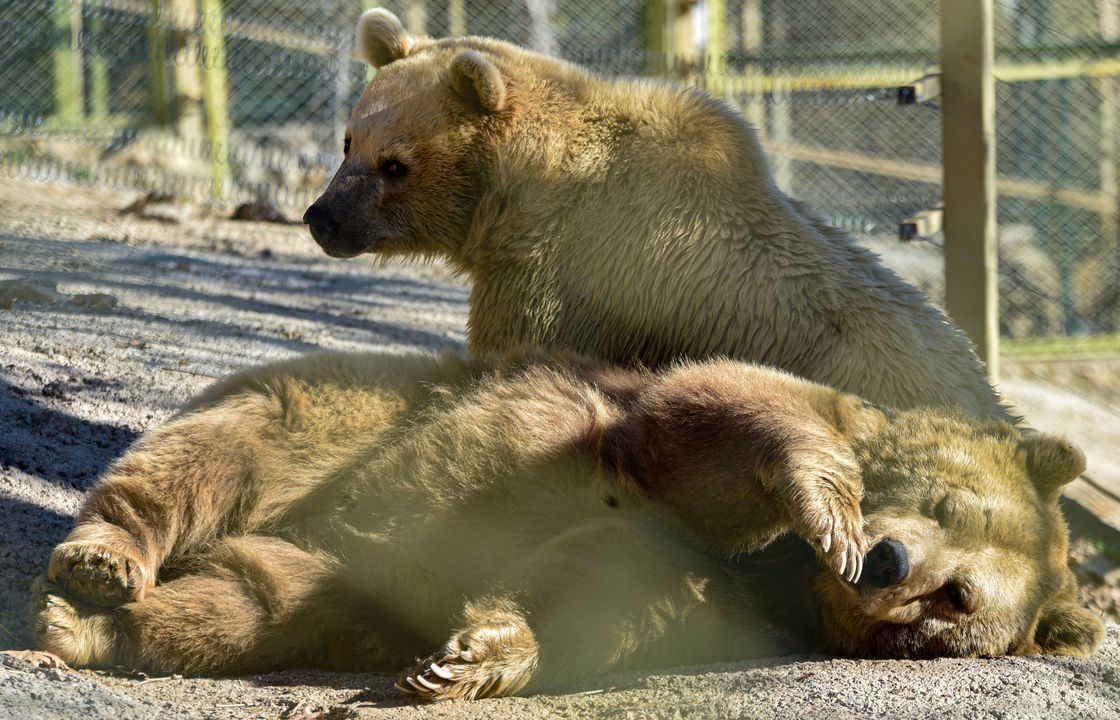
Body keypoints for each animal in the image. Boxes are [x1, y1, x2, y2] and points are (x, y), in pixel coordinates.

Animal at [30, 351, 1097, 703]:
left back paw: (93, 628)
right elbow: (728, 413)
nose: (883, 560)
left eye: (956, 599)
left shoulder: (713, 595)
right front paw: (826, 502)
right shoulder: (663, 443)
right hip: (346, 420)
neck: (783, 578)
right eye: (949, 504)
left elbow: (589, 597)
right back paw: (99, 566)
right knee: (216, 452)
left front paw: (470, 659)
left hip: (325, 574)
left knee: (254, 602)